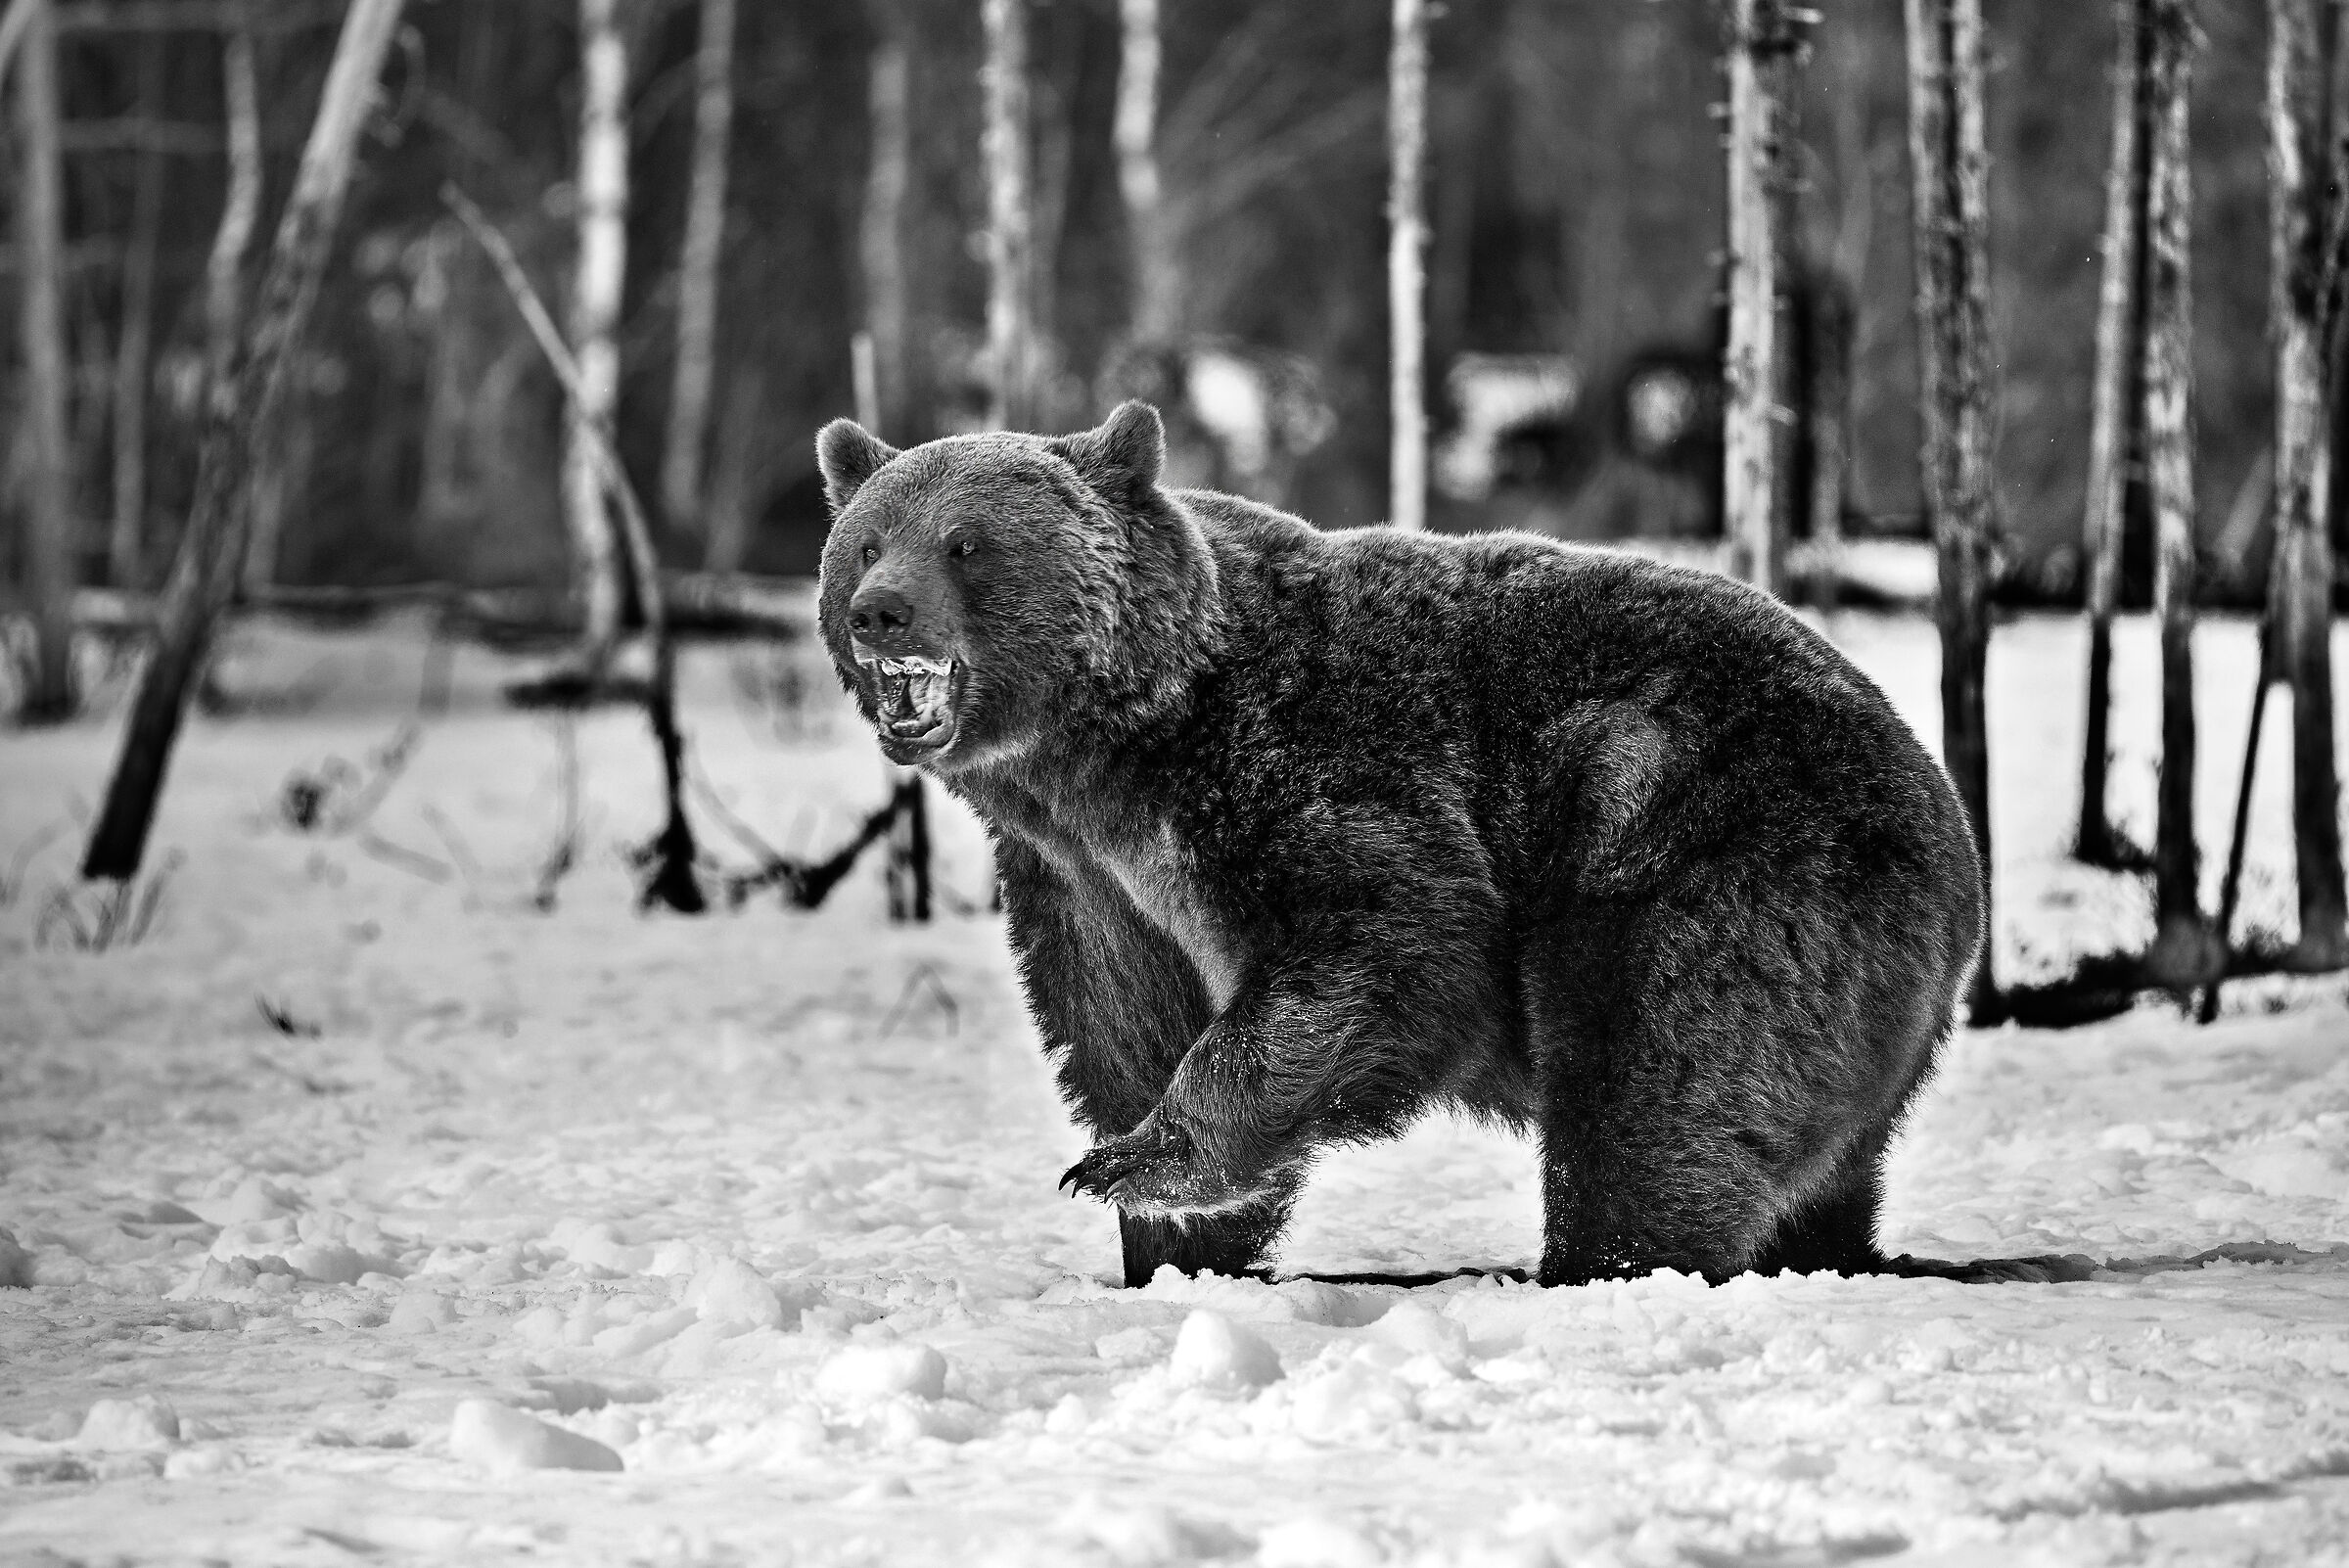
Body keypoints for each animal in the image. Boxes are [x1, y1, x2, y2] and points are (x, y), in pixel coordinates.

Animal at [814, 400, 1986, 1291]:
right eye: (866, 540)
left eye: (967, 543)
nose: (879, 611)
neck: (1112, 757)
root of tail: (1948, 816)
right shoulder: (1087, 885)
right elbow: (1122, 1026)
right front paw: (1167, 1238)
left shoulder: (1308, 772)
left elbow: (1376, 947)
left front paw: (1140, 1165)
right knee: (1816, 1152)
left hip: (1706, 842)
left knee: (1660, 1080)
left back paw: (1605, 1264)